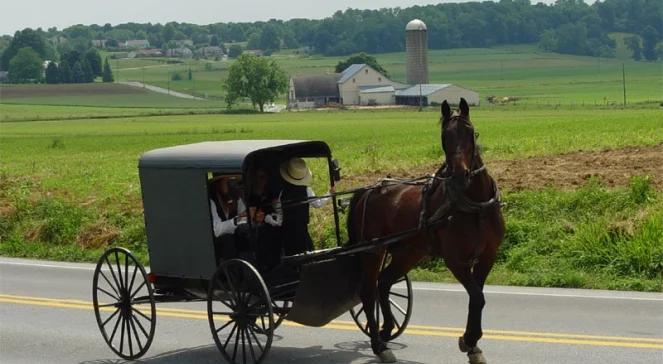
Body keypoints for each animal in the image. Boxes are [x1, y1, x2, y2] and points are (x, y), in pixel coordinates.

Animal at [350, 98, 506, 362]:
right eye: (444, 136)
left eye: (470, 132)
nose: (460, 175)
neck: (474, 206)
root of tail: (368, 190)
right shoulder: (455, 260)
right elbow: (476, 296)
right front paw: (469, 340)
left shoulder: (487, 256)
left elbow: (478, 298)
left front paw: (472, 344)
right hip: (373, 250)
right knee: (367, 292)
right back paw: (379, 345)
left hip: (408, 252)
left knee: (384, 283)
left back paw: (386, 329)